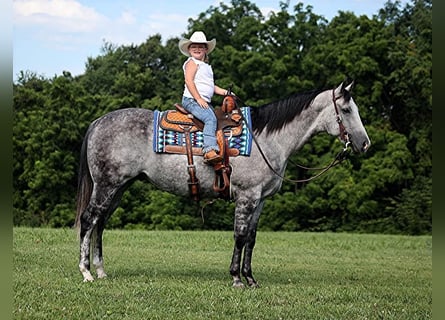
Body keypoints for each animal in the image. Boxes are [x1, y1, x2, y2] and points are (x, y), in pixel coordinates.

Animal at [76, 80, 372, 288]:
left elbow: (251, 238)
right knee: (89, 220)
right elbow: (240, 236)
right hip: (106, 185)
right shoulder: (247, 197)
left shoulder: (260, 200)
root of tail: (97, 122)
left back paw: (100, 271)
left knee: (101, 223)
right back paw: (86, 272)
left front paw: (251, 278)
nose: (365, 144)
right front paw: (236, 278)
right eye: (347, 110)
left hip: (118, 188)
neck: (267, 139)